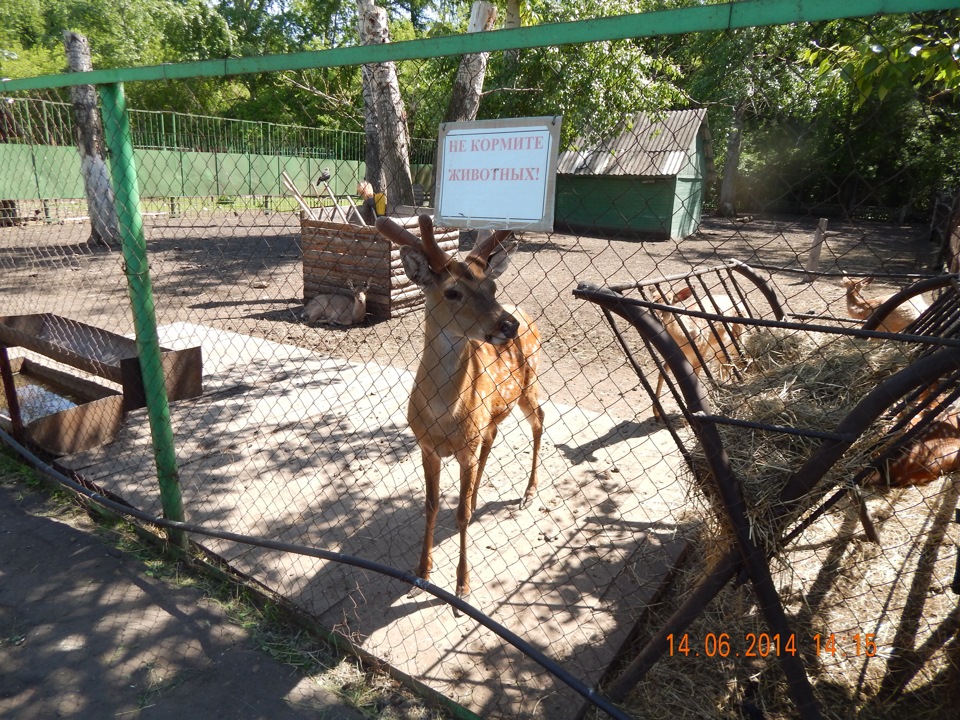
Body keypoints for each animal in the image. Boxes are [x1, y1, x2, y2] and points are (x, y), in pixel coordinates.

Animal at [374, 217, 544, 600]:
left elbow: (462, 516)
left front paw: (462, 585)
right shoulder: (426, 446)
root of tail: (526, 312)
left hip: (530, 382)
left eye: (491, 286)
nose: (507, 325)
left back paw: (528, 493)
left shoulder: (464, 447)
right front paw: (422, 571)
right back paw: (479, 495)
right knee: (492, 437)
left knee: (539, 420)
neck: (442, 417)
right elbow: (431, 506)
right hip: (494, 409)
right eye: (452, 292)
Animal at [648, 286, 748, 422]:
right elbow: (662, 373)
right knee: (725, 362)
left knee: (740, 355)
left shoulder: (701, 349)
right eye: (651, 297)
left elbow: (693, 375)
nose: (657, 314)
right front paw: (656, 413)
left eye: (669, 299)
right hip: (718, 345)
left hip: (737, 335)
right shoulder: (675, 354)